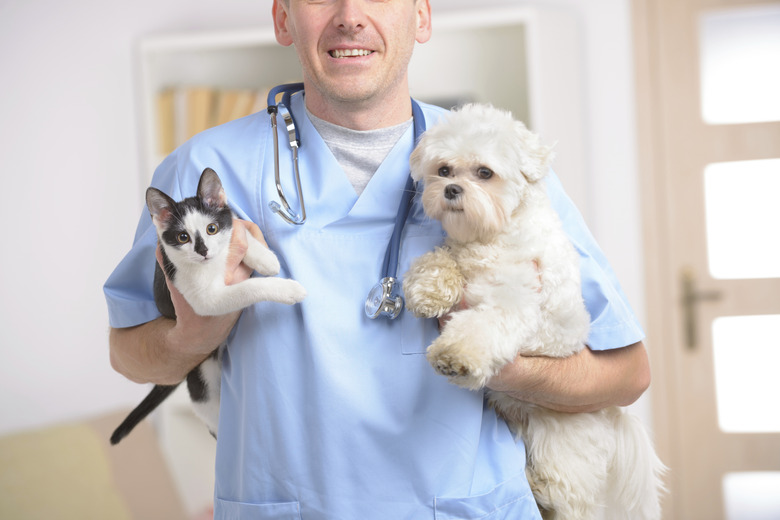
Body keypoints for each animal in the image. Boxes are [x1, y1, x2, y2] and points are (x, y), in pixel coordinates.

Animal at [109, 169, 304, 444]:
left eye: (212, 229)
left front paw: (265, 258)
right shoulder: (203, 298)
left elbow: (238, 230)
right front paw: (288, 289)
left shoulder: (230, 224)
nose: (203, 251)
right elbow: (248, 288)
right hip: (204, 384)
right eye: (183, 237)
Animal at [402, 104, 664, 520]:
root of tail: (609, 414)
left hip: (559, 434)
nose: (451, 190)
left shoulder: (514, 300)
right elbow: (439, 260)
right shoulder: (457, 253)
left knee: (573, 495)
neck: (490, 234)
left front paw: (455, 355)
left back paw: (544, 488)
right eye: (444, 170)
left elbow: (481, 327)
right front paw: (426, 290)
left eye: (484, 173)